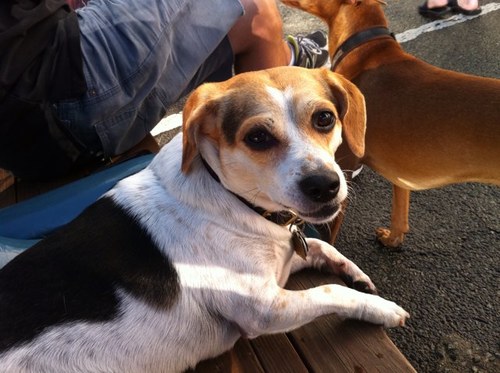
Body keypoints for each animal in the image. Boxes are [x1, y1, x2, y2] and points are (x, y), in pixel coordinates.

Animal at [0, 65, 406, 370]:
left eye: (324, 118)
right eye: (257, 137)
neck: (233, 198)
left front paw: (356, 273)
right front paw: (382, 309)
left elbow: (322, 248)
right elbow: (330, 290)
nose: (325, 185)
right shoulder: (265, 309)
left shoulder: (282, 263)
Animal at [284, 0, 500, 247]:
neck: (367, 47)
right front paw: (393, 238)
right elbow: (399, 211)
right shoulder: (401, 175)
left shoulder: (339, 174)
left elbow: (328, 237)